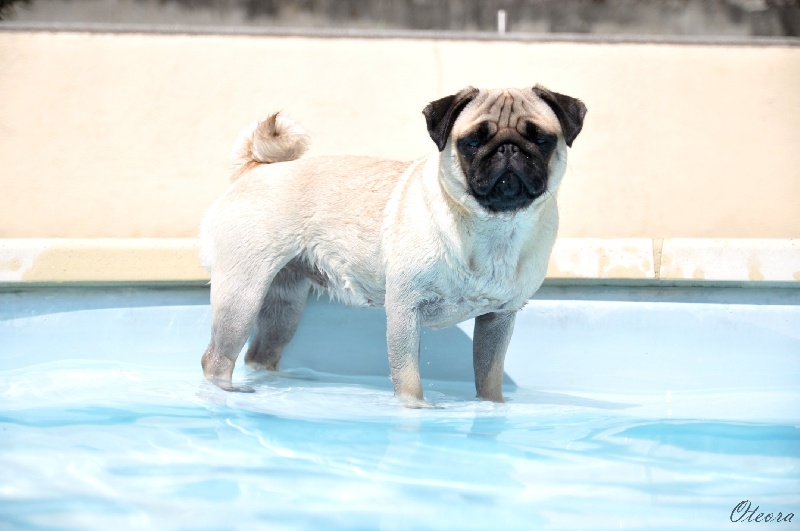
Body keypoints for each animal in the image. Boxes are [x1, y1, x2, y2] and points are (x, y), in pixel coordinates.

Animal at [200, 85, 586, 406]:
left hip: (283, 308)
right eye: (472, 143)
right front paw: (416, 409)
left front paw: (492, 409)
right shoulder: (405, 309)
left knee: (259, 355)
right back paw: (226, 389)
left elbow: (488, 378)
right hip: (242, 295)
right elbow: (408, 375)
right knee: (216, 358)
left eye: (541, 140)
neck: (494, 230)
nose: (508, 148)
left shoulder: (498, 319)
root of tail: (254, 168)